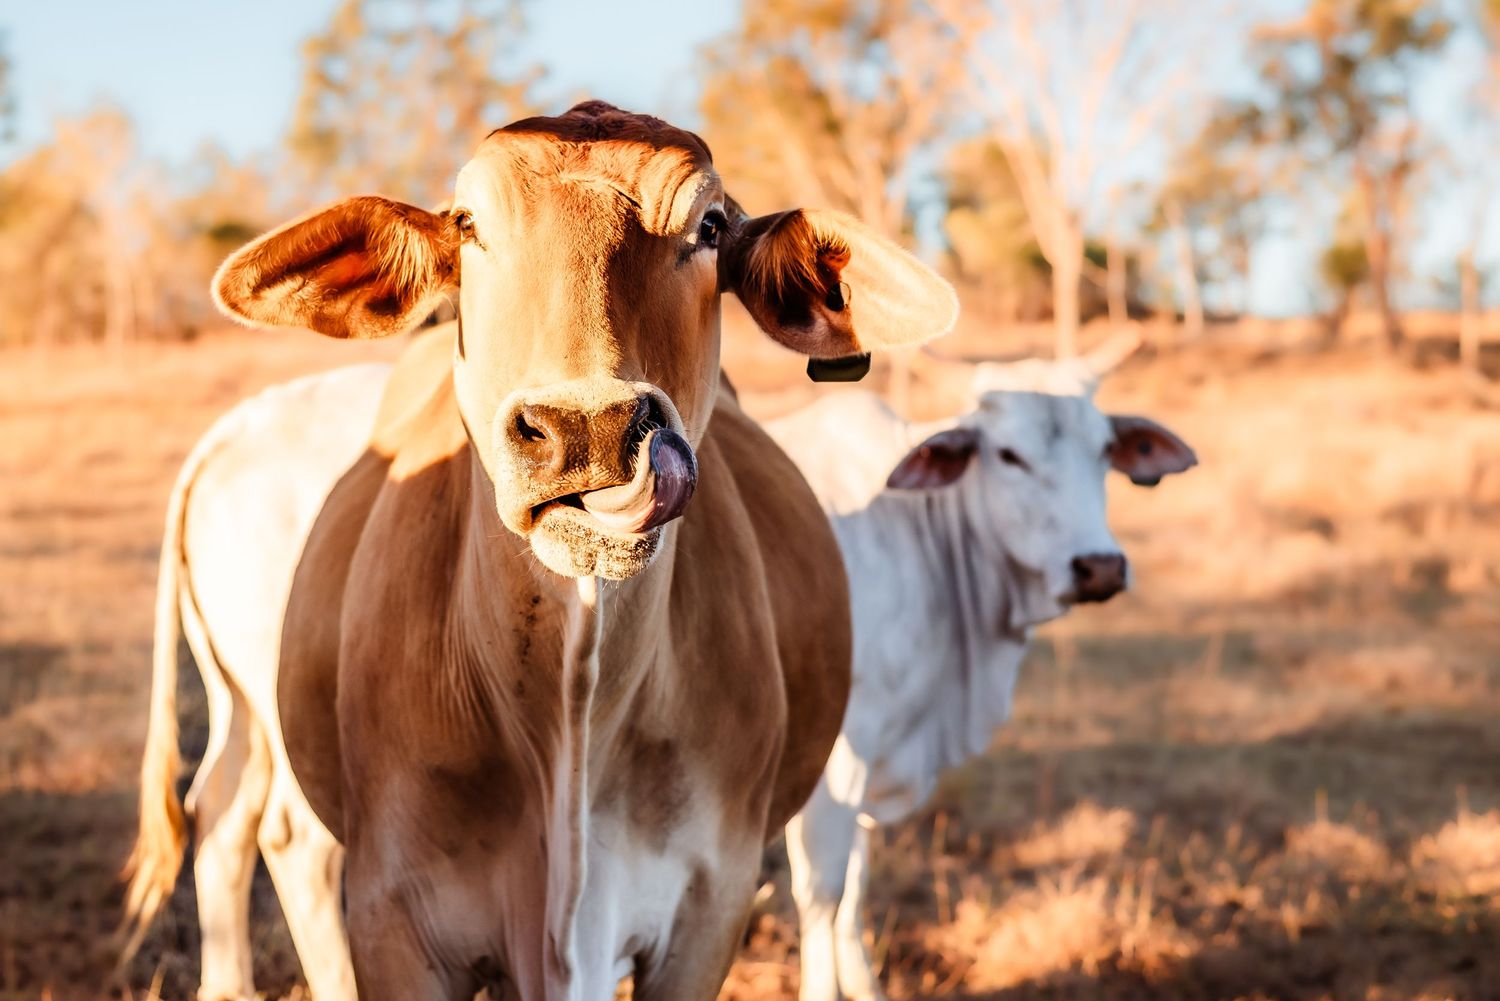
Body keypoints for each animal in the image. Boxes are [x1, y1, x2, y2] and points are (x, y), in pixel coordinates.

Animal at [122, 101, 958, 1001]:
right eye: (467, 223)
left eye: (708, 226)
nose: (589, 430)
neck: (566, 713)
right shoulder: (392, 916)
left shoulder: (709, 909)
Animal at [761, 359, 1196, 1001]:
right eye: (1008, 455)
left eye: (1103, 449)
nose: (1099, 567)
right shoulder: (837, 755)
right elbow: (823, 890)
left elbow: (857, 880)